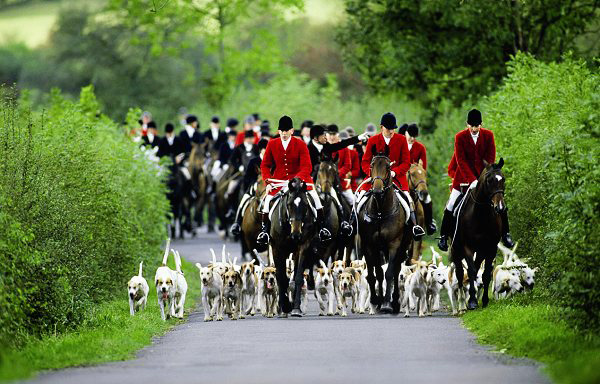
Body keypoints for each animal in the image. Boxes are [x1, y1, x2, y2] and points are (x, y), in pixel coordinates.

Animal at [270, 177, 318, 318]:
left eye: (306, 205)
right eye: (290, 204)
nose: (296, 234)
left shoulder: (302, 247)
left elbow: (298, 278)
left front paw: (295, 308)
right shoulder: (277, 249)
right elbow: (281, 277)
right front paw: (285, 306)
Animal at [356, 146, 412, 312]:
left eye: (388, 167)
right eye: (371, 165)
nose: (377, 190)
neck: (380, 211)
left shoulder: (394, 244)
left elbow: (389, 273)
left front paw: (387, 303)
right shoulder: (369, 245)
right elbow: (375, 274)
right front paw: (376, 300)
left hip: (402, 246)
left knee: (396, 270)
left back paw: (394, 300)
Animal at [450, 158, 506, 310]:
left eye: (503, 179)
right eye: (489, 181)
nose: (500, 208)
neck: (481, 215)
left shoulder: (490, 248)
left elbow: (486, 274)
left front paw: (485, 300)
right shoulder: (467, 247)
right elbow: (470, 271)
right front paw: (472, 301)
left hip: (480, 251)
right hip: (456, 250)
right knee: (460, 273)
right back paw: (463, 302)